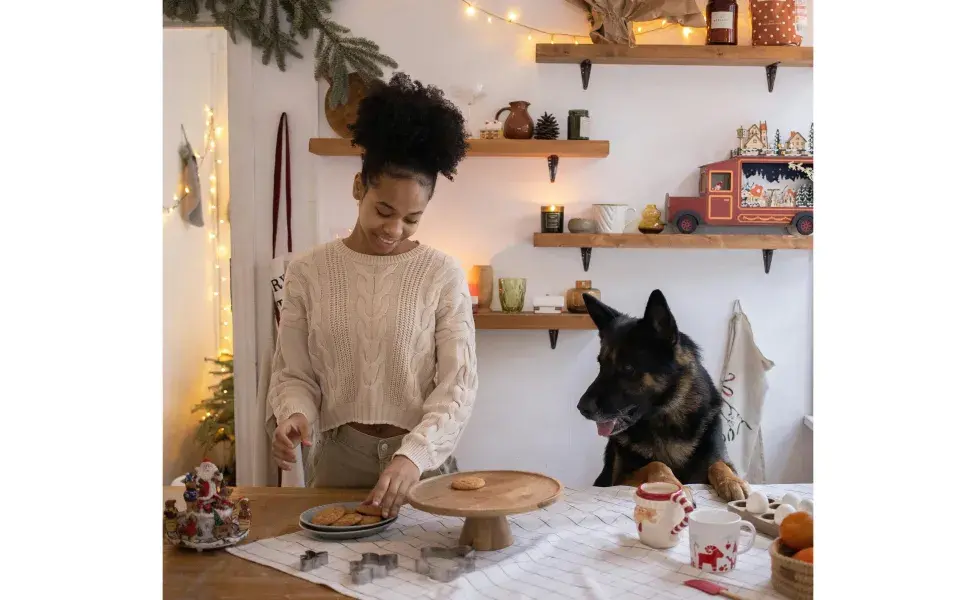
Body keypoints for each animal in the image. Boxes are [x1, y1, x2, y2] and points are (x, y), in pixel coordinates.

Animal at [580, 290, 748, 502]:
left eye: (628, 368)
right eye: (601, 365)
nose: (581, 408)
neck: (667, 416)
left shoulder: (718, 459)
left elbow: (719, 464)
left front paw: (732, 481)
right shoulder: (620, 477)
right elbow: (656, 464)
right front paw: (671, 486)